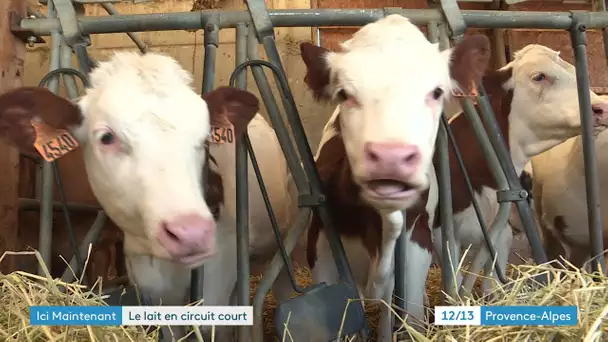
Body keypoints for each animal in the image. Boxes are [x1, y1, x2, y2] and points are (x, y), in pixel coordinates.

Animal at [300, 14, 494, 340]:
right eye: (344, 93)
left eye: (437, 92)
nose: (391, 157)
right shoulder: (322, 250)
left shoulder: (417, 246)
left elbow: (411, 317)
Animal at [432, 44, 608, 296]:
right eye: (539, 76)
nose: (602, 108)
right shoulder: (443, 235)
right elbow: (454, 288)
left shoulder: (502, 233)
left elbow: (490, 284)